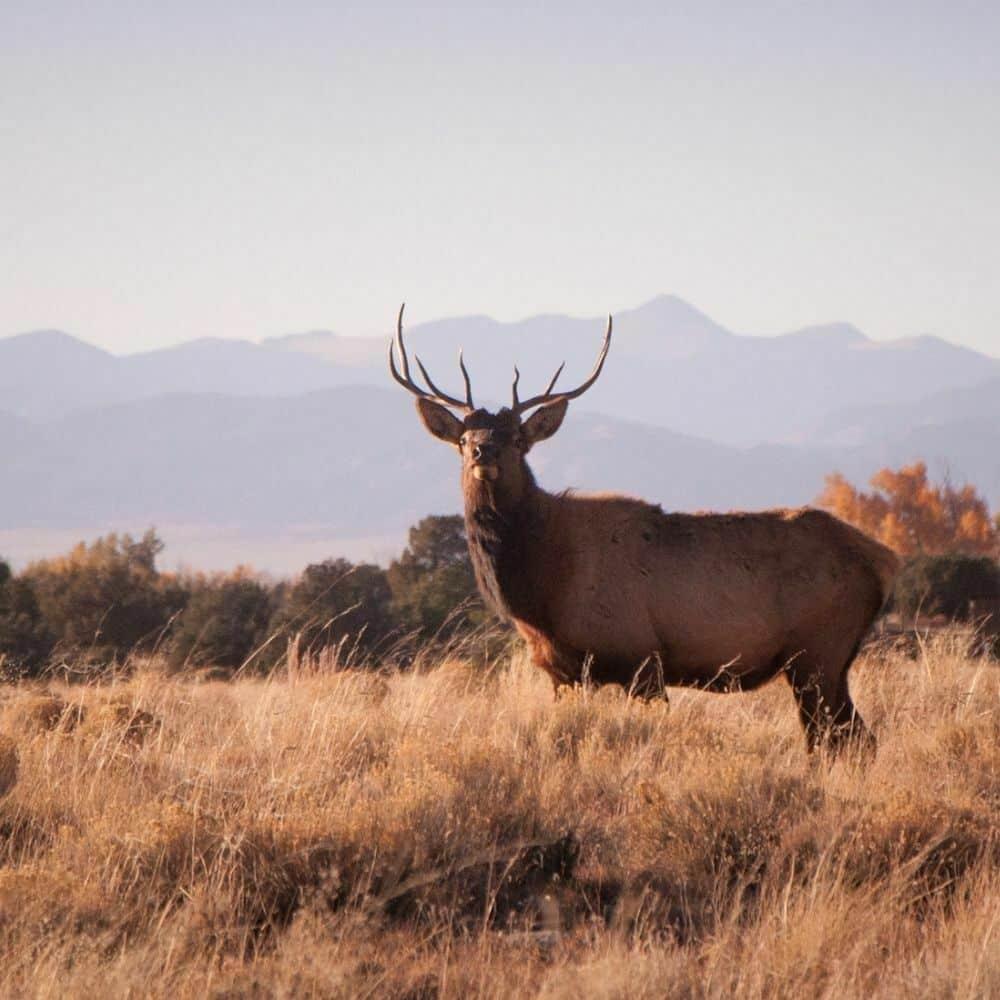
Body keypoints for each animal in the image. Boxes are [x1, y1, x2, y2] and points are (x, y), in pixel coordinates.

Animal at [389, 305, 899, 752]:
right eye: (462, 438)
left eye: (517, 438)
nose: (483, 452)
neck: (541, 591)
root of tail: (885, 560)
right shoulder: (561, 673)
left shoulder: (641, 658)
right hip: (822, 661)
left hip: (820, 651)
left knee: (848, 741)